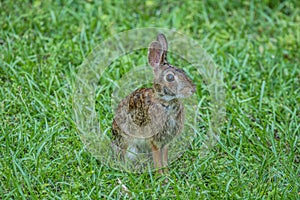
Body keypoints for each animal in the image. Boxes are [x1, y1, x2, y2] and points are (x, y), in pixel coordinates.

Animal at [111, 33, 196, 173]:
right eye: (170, 77)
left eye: (183, 71)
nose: (192, 90)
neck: (166, 103)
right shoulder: (153, 140)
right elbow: (157, 158)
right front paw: (160, 175)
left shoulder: (166, 140)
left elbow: (164, 156)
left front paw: (167, 174)